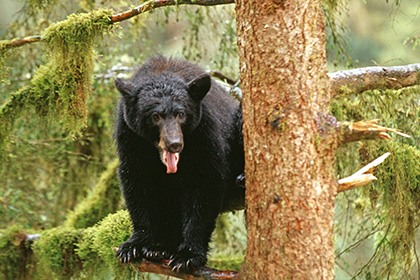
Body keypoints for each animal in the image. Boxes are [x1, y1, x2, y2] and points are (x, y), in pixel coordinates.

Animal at [115, 54, 244, 272]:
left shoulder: (205, 130)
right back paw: (161, 248)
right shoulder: (129, 136)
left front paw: (187, 256)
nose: (175, 143)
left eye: (181, 114)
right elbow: (136, 183)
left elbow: (205, 184)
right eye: (155, 116)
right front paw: (136, 245)